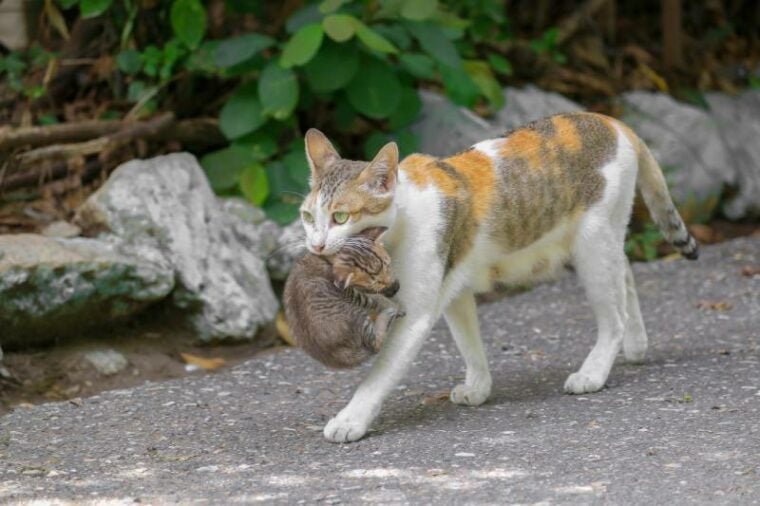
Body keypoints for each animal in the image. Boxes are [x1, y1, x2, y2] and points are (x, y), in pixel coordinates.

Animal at [284, 227, 404, 370]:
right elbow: (374, 298)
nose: (392, 285)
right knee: (375, 345)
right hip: (356, 315)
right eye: (377, 282)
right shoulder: (349, 292)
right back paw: (387, 315)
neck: (326, 257)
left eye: (388, 266)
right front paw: (391, 302)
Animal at [298, 111, 700, 442]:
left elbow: (379, 374)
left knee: (613, 314)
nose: (316, 245)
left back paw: (596, 371)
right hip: (605, 238)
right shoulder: (453, 289)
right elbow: (468, 342)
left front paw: (350, 420)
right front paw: (479, 386)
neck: (402, 220)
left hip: (592, 243)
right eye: (307, 217)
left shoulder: (415, 312)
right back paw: (636, 344)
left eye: (341, 217)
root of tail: (613, 122)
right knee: (626, 274)